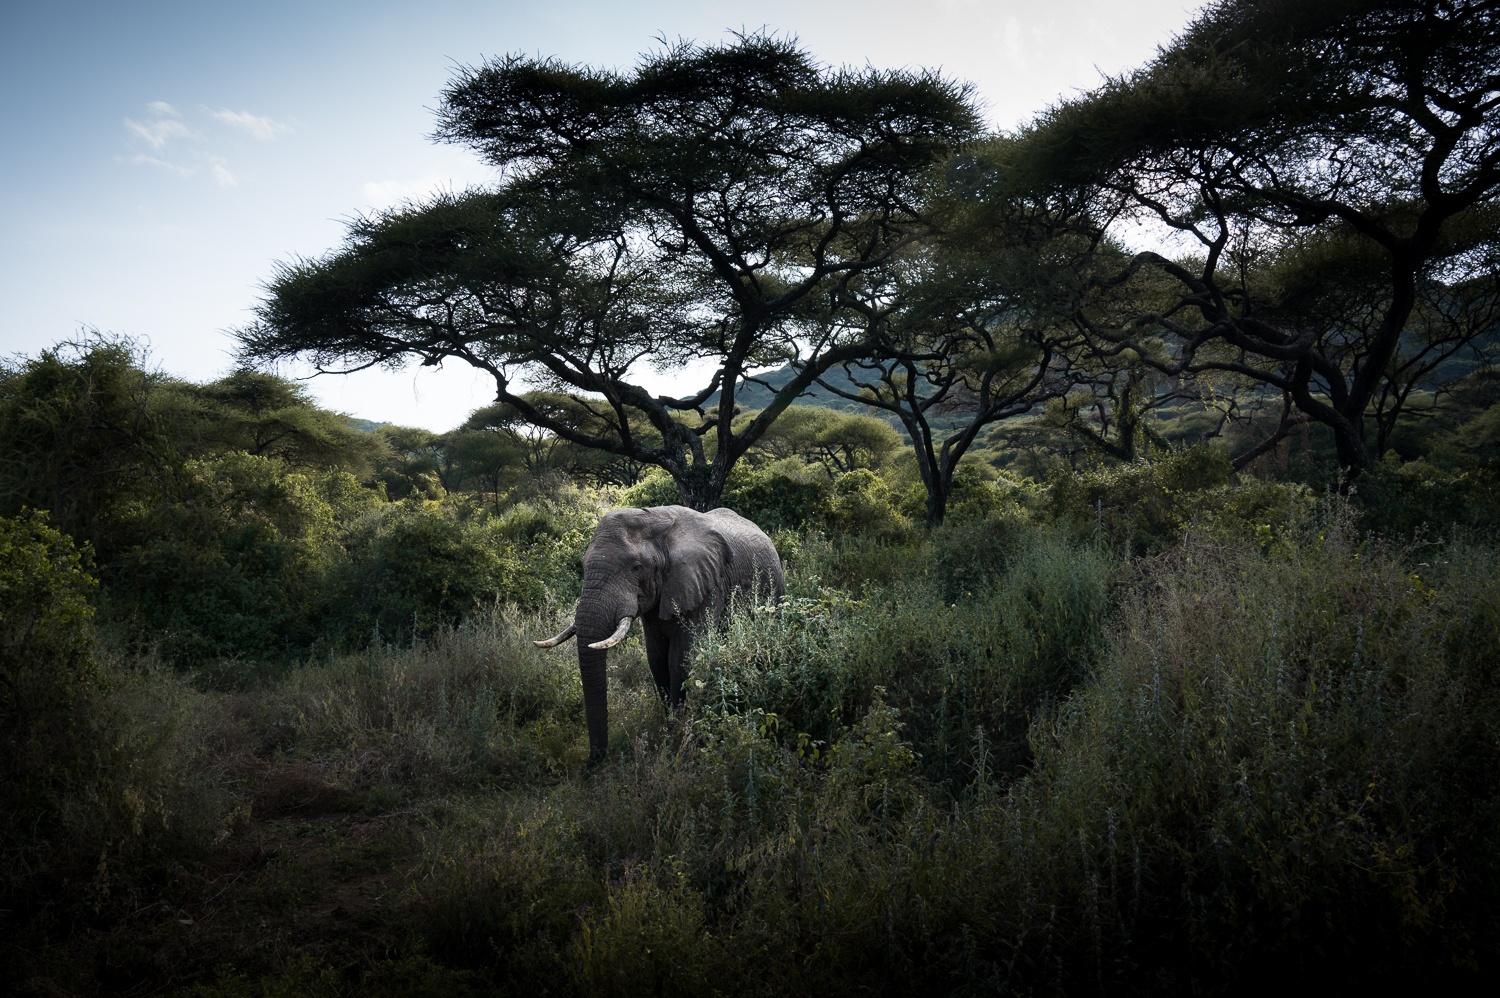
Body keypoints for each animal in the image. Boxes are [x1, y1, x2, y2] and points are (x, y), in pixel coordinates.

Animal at [534, 507, 786, 762]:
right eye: (583, 564)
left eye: (636, 567)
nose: (591, 764)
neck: (656, 520)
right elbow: (656, 658)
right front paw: (669, 731)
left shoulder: (708, 585)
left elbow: (681, 659)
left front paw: (678, 737)